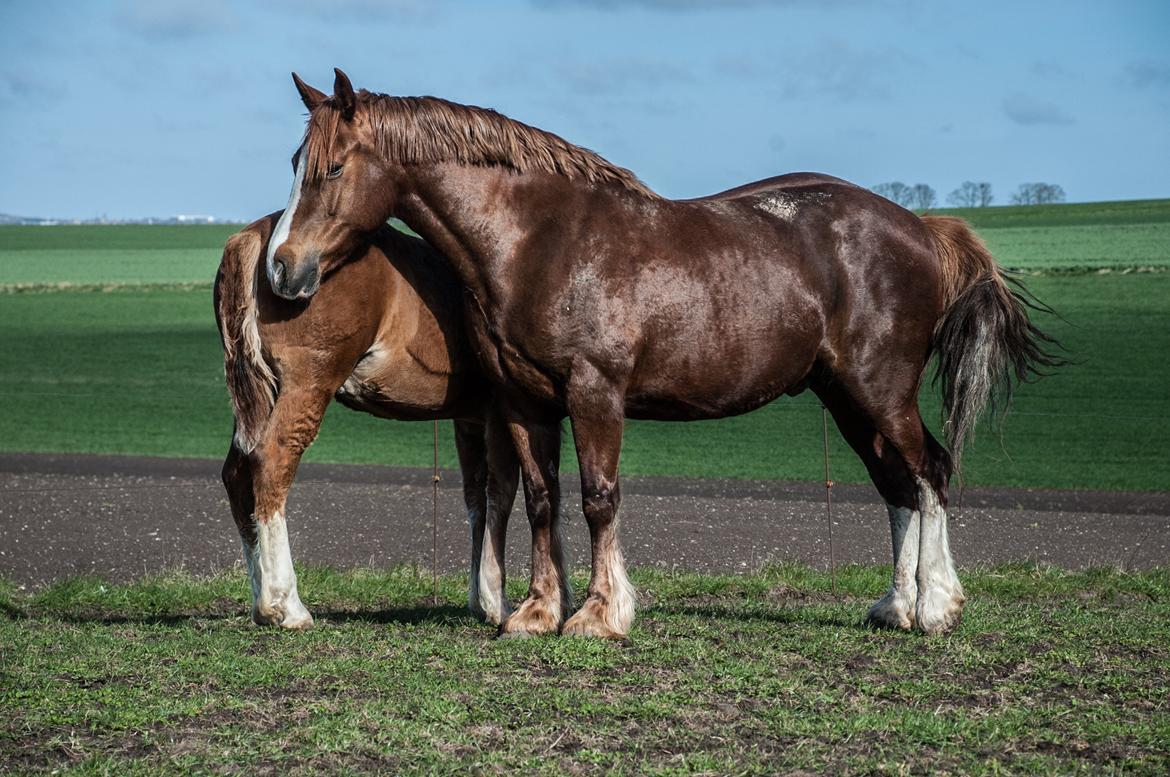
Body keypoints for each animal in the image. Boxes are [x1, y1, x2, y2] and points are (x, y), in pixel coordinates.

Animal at [218, 209, 566, 627]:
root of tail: (254, 237)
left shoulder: (471, 421)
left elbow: (476, 496)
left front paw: (481, 600)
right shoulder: (503, 416)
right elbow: (502, 490)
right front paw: (498, 603)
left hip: (260, 398)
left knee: (238, 474)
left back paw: (261, 601)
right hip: (306, 386)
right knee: (272, 461)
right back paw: (285, 606)